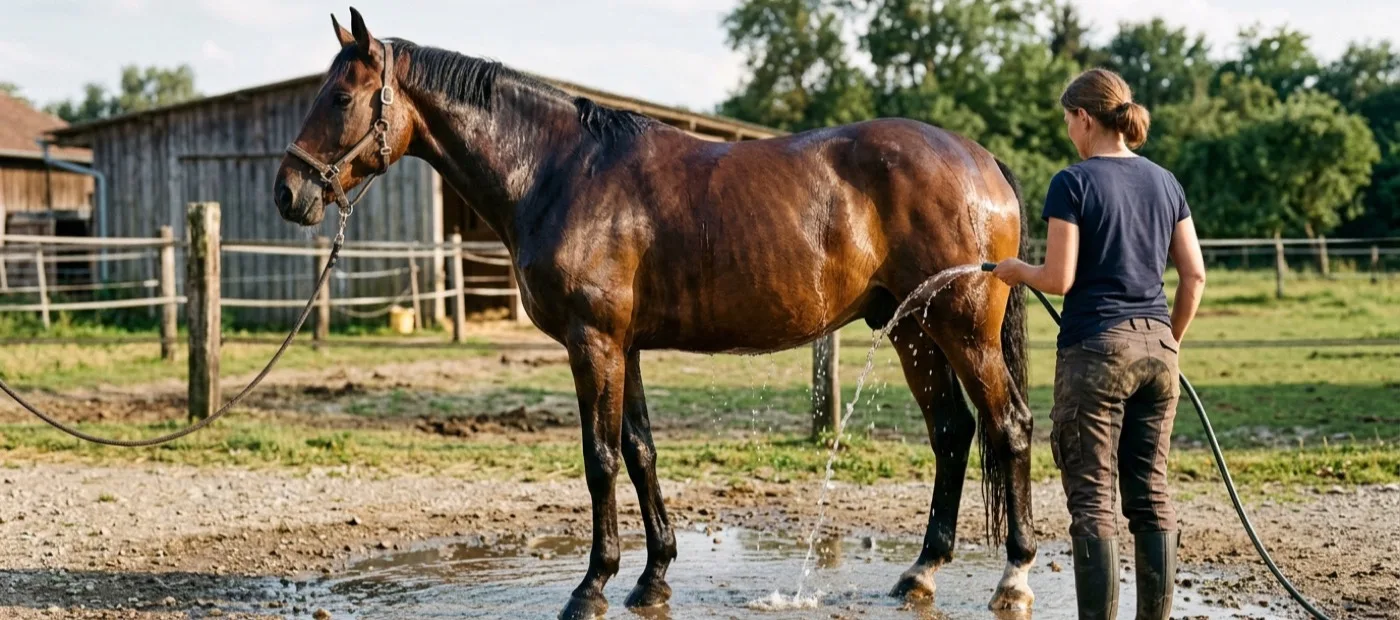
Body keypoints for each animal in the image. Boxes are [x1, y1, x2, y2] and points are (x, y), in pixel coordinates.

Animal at [275, 8, 1037, 619]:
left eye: (340, 96)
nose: (288, 192)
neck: (558, 171)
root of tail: (982, 160)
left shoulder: (593, 342)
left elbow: (601, 458)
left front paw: (593, 585)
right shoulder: (627, 346)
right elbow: (640, 451)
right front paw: (653, 577)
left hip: (963, 329)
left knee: (1009, 428)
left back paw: (1014, 574)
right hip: (914, 330)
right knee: (952, 432)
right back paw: (921, 572)